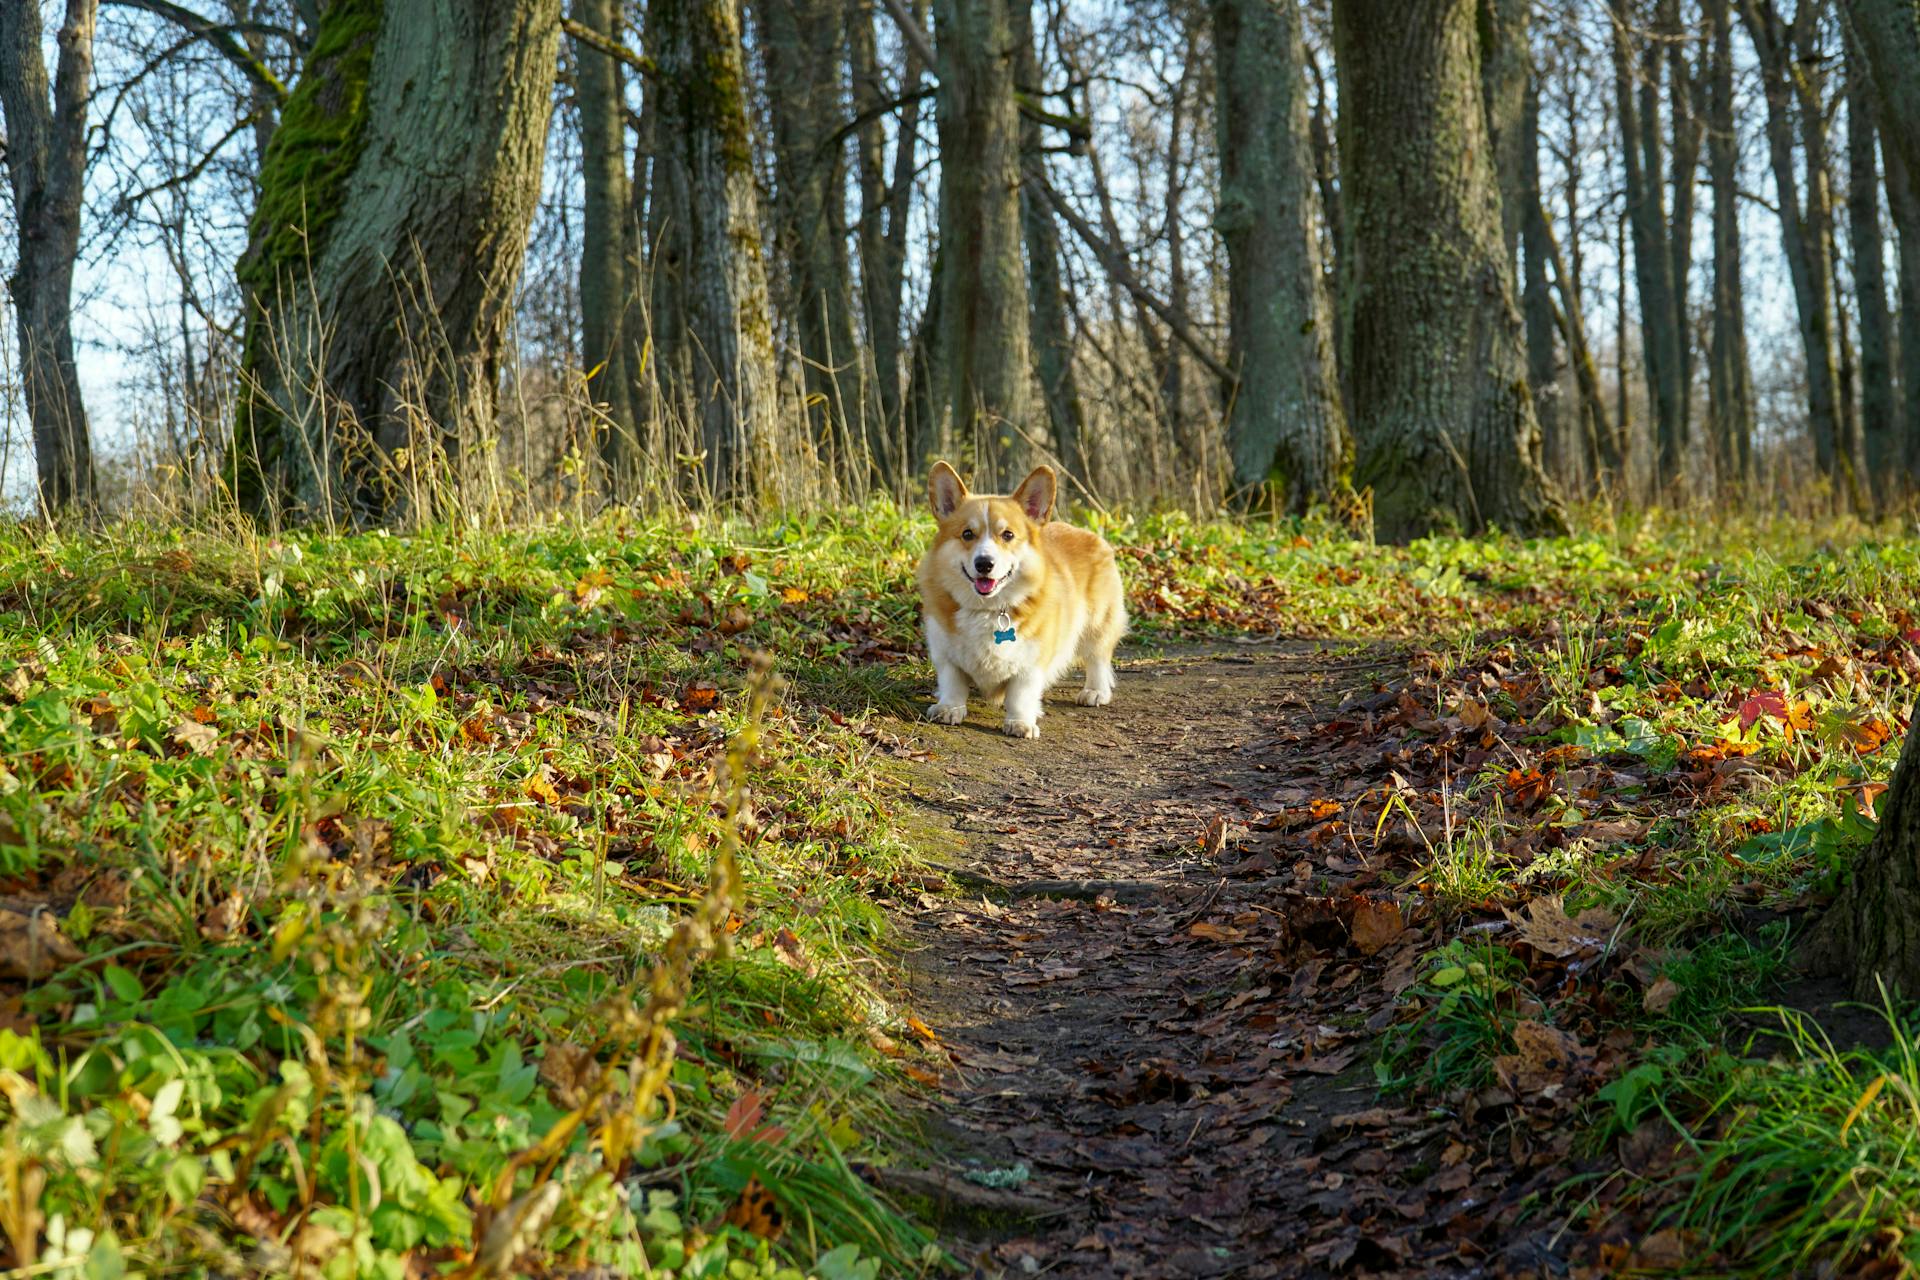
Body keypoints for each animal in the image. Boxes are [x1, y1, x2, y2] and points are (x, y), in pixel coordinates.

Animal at [913, 462, 1121, 740]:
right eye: (967, 534)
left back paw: (1095, 691)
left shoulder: (1031, 661)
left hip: (1097, 624)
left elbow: (1021, 695)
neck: (988, 609)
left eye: (1008, 535)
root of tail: (1083, 531)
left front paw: (1020, 722)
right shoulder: (946, 654)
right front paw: (949, 708)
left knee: (1098, 657)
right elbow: (952, 682)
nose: (984, 563)